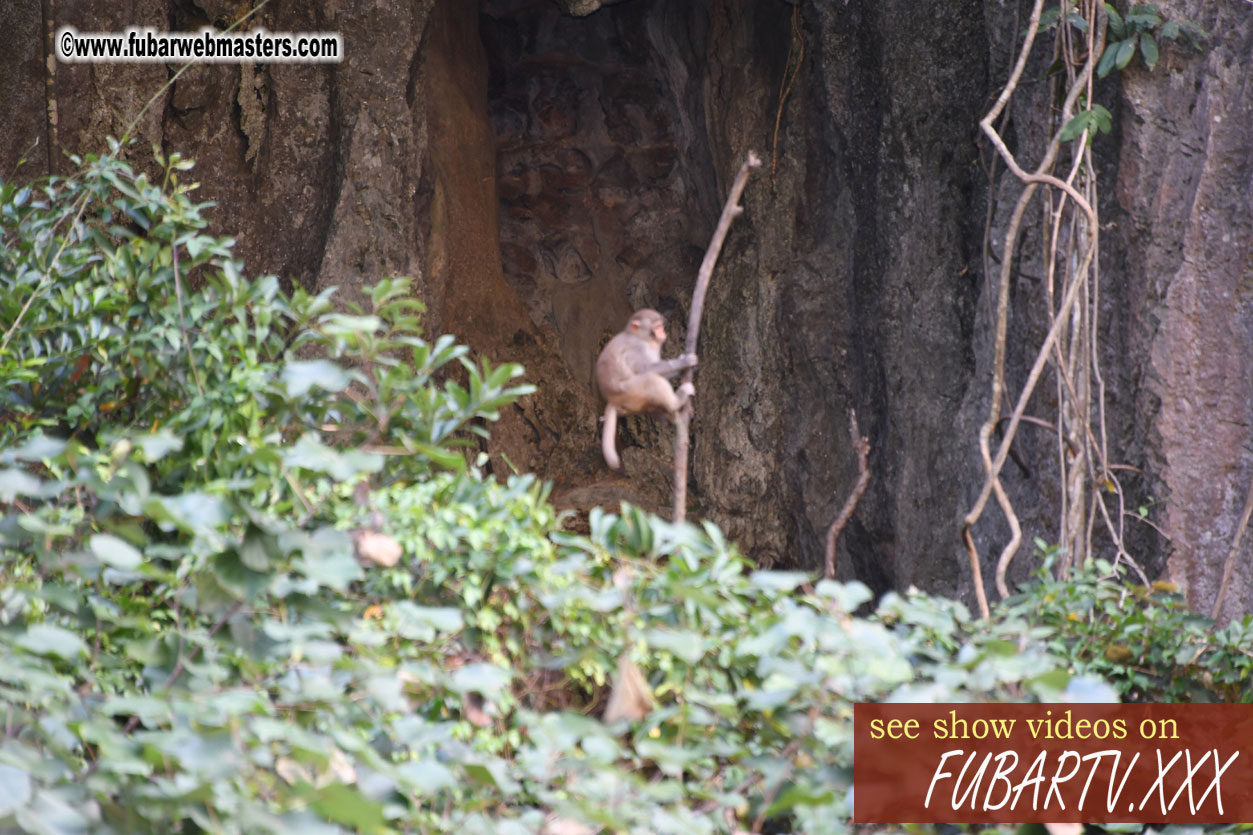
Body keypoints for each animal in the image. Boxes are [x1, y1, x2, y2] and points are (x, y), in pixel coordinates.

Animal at [593, 307, 696, 468]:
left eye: (660, 326)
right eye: (656, 327)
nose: (662, 333)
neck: (643, 338)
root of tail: (613, 400)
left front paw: (681, 366)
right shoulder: (637, 350)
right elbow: (647, 369)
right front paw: (684, 362)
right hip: (629, 391)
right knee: (650, 380)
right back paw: (677, 401)